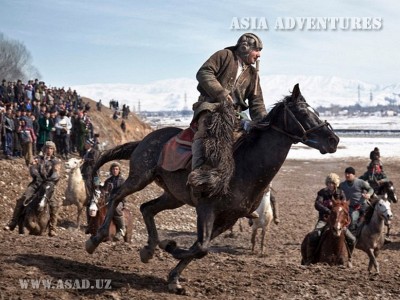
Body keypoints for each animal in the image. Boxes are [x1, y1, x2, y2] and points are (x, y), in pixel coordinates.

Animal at [86, 84, 340, 292]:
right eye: (304, 113)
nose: (334, 140)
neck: (244, 165)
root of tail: (145, 139)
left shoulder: (228, 217)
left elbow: (201, 247)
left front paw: (173, 276)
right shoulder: (206, 208)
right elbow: (201, 247)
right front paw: (171, 247)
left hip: (173, 196)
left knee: (147, 208)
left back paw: (149, 249)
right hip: (140, 177)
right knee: (116, 196)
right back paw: (96, 239)